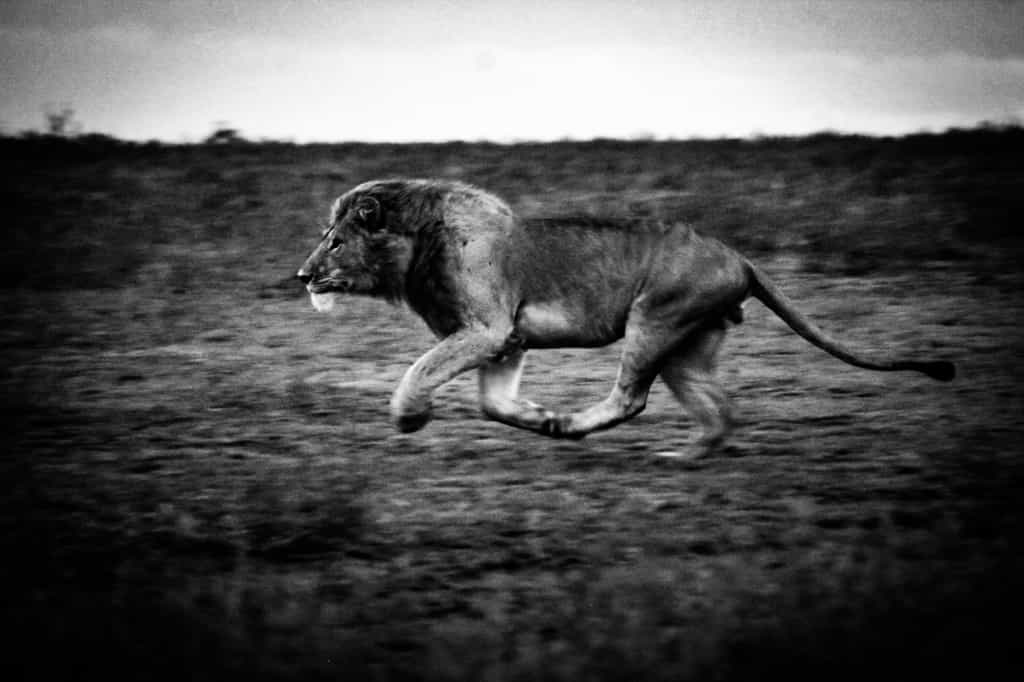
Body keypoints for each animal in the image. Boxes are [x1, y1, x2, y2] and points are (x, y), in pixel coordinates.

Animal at [297, 179, 955, 455]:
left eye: (335, 242)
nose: (302, 276)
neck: (413, 251)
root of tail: (738, 256)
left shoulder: (485, 329)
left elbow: (421, 370)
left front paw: (409, 417)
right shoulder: (506, 341)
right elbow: (494, 403)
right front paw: (537, 416)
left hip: (654, 321)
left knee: (632, 398)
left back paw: (578, 426)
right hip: (686, 345)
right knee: (722, 408)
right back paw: (685, 458)